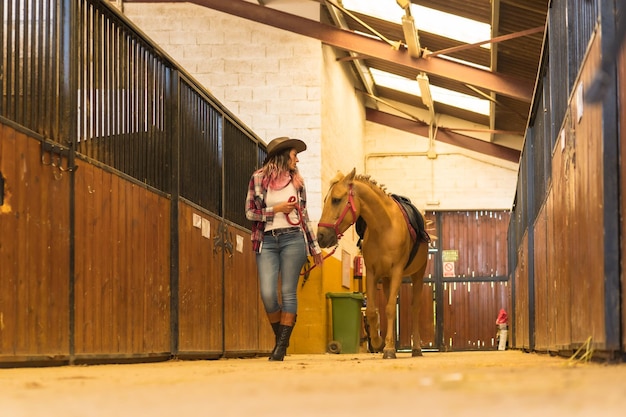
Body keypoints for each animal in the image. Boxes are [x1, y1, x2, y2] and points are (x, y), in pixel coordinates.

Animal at [316, 168, 428, 358]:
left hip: (417, 275)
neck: (384, 227)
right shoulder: (372, 273)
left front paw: (388, 350)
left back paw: (416, 349)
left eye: (336, 199)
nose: (320, 236)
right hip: (387, 280)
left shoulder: (397, 271)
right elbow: (372, 311)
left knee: (415, 309)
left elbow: (389, 309)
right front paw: (378, 342)